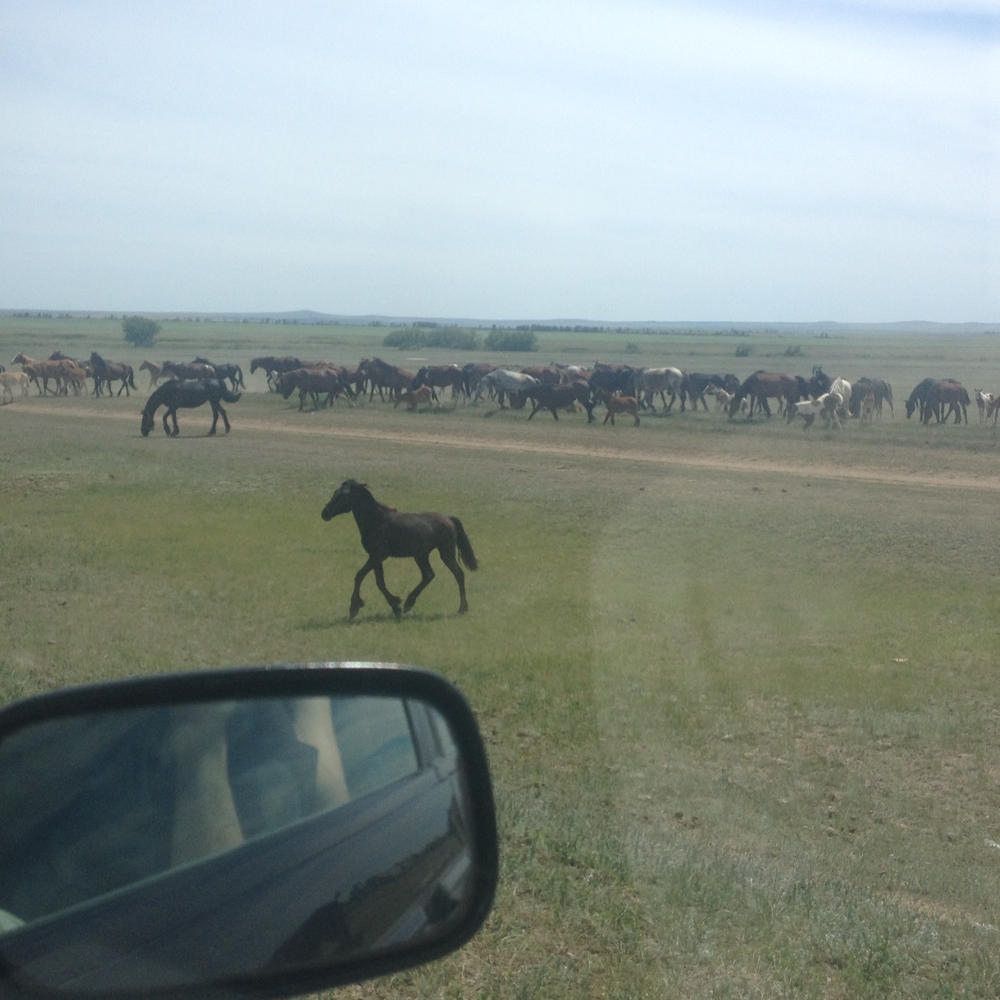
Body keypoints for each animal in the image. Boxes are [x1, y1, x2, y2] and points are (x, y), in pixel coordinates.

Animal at [320, 480, 476, 620]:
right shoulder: (375, 557)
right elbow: (380, 582)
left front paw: (354, 608)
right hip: (421, 555)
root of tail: (449, 518)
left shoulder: (378, 556)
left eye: (343, 495)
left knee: (458, 574)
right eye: (335, 492)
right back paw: (408, 604)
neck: (376, 520)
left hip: (446, 553)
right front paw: (396, 607)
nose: (324, 513)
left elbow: (359, 575)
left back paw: (462, 609)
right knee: (428, 575)